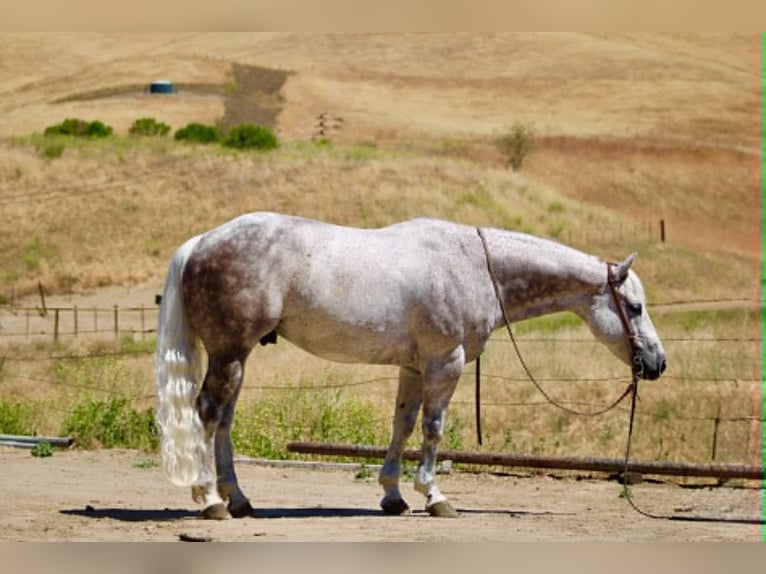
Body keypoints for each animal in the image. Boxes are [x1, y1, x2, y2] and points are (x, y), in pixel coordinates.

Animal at [155, 211, 666, 519]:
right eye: (635, 307)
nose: (657, 363)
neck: (474, 266)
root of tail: (200, 242)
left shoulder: (414, 368)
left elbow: (401, 425)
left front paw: (393, 495)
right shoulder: (445, 363)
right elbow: (433, 429)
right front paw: (435, 496)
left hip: (238, 356)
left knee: (223, 422)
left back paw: (239, 499)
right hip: (229, 353)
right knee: (206, 414)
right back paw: (211, 500)